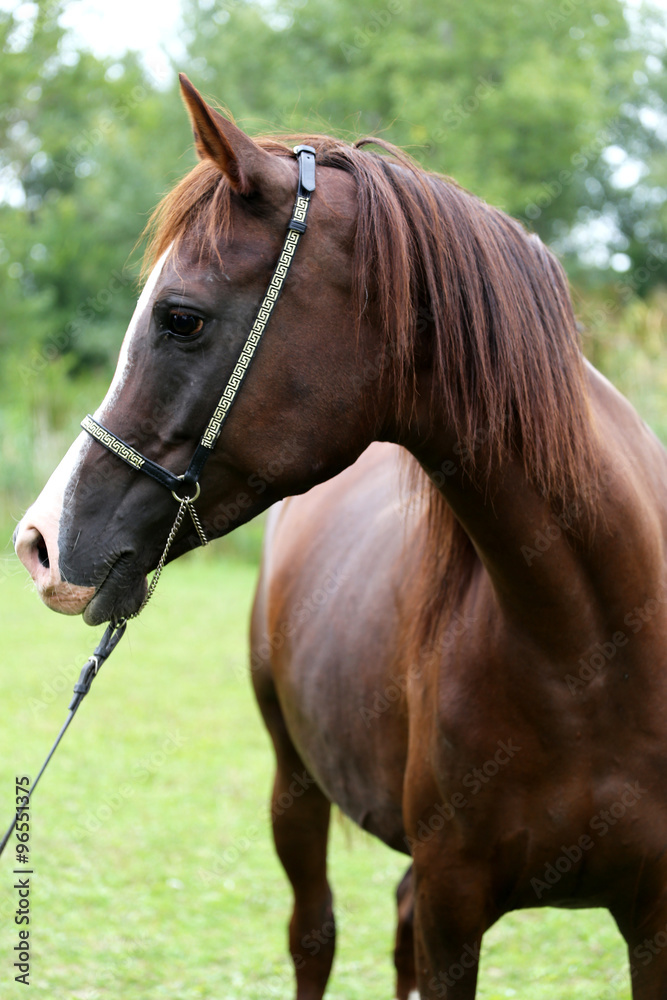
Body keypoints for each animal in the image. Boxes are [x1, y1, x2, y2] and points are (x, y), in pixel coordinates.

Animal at [13, 74, 667, 999]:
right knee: (313, 935)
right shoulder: (453, 908)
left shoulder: (652, 921)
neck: (586, 650)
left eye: (180, 318)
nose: (37, 543)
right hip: (294, 785)